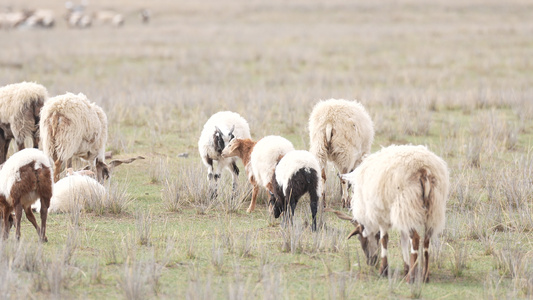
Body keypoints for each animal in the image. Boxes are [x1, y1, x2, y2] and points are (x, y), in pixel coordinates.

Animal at [326, 145, 446, 284]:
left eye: (360, 238)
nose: (370, 262)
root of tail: (424, 170)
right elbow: (403, 240)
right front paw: (405, 268)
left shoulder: (381, 216)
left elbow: (384, 239)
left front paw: (383, 270)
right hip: (432, 209)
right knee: (426, 241)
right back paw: (425, 276)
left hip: (408, 205)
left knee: (416, 239)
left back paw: (411, 277)